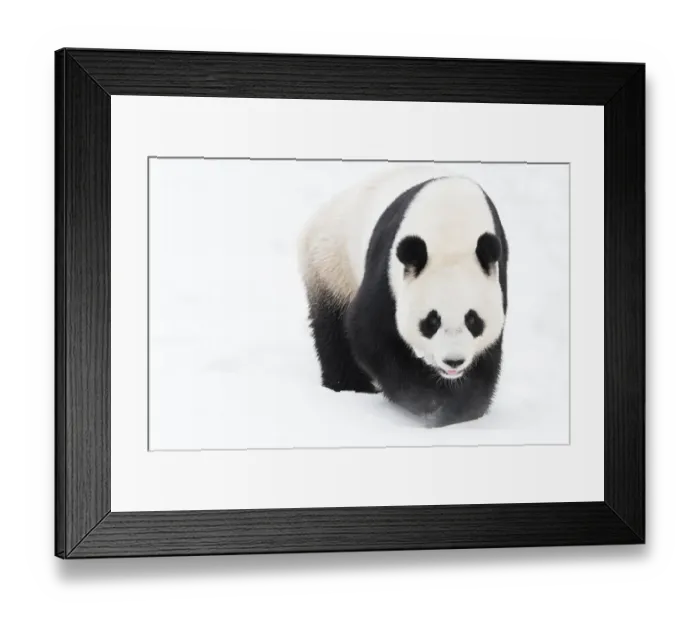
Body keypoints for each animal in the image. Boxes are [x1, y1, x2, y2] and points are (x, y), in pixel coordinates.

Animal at [298, 165, 508, 428]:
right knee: (332, 328)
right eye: (431, 321)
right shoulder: (387, 267)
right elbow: (371, 335)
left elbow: (487, 357)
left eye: (473, 320)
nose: (453, 361)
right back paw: (350, 385)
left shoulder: (497, 274)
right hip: (331, 262)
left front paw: (460, 408)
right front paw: (431, 400)